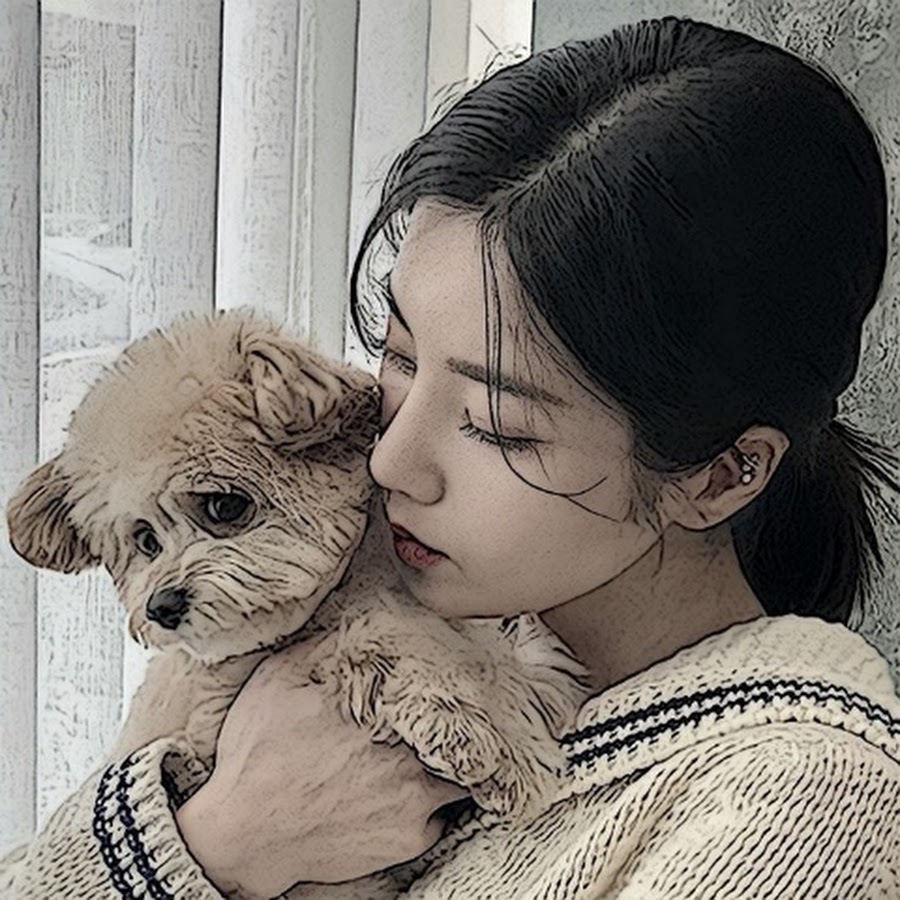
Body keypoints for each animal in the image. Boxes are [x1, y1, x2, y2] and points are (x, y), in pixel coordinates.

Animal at [7, 310, 590, 895]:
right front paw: (499, 746)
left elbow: (501, 655)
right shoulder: (233, 695)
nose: (161, 606)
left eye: (224, 506)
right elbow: (399, 639)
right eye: (145, 540)